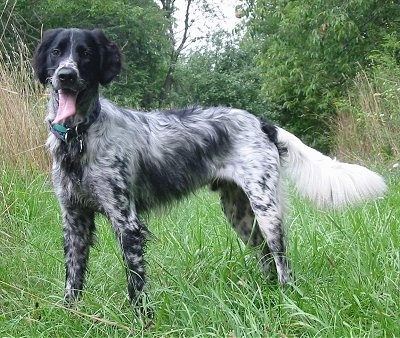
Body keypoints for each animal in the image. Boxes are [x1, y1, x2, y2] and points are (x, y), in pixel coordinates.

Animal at [32, 28, 386, 308]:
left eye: (86, 53)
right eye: (56, 52)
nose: (65, 75)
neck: (79, 138)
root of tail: (261, 122)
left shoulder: (127, 223)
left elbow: (136, 286)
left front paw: (142, 321)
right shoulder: (74, 220)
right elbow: (73, 280)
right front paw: (71, 316)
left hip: (266, 210)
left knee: (282, 261)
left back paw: (287, 301)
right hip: (240, 214)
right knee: (267, 260)